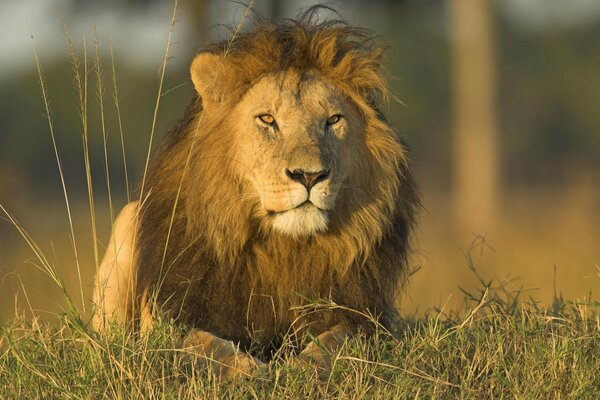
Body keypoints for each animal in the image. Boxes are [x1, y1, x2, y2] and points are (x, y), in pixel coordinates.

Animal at [92, 8, 418, 378]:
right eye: (267, 120)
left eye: (333, 120)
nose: (309, 175)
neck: (283, 249)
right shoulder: (173, 316)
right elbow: (204, 344)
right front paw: (249, 371)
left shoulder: (365, 317)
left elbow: (337, 341)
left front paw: (302, 368)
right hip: (127, 220)